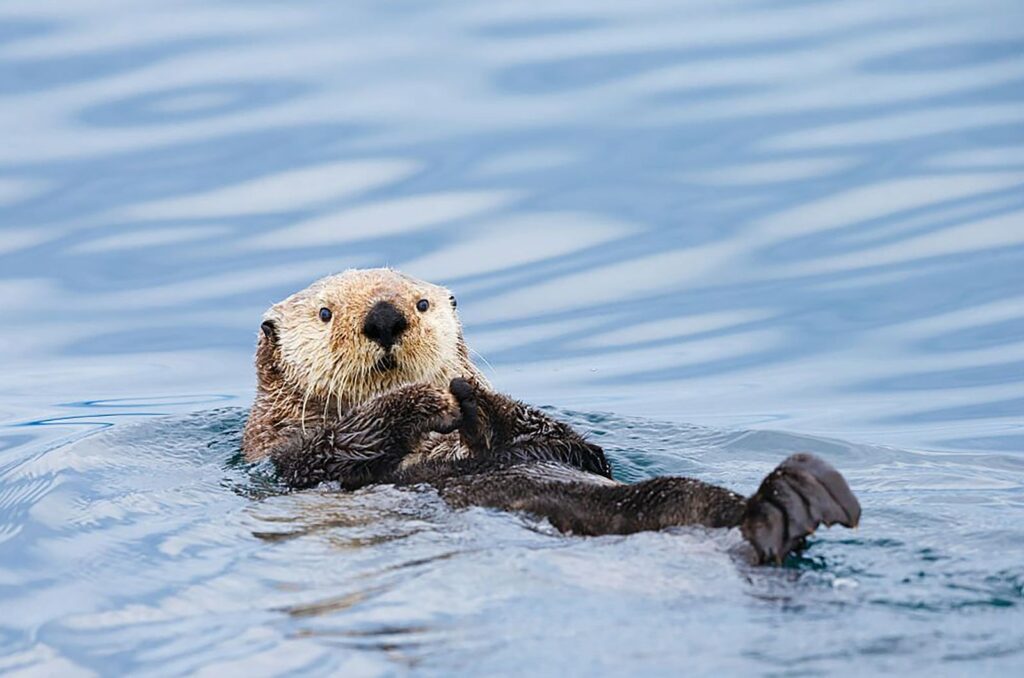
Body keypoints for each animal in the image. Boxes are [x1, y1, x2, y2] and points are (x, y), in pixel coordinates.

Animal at [243, 268, 860, 565]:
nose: (385, 316)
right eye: (326, 314)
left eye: (421, 303)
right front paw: (428, 400)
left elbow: (573, 446)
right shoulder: (287, 459)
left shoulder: (569, 448)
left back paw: (798, 497)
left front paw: (472, 397)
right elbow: (337, 448)